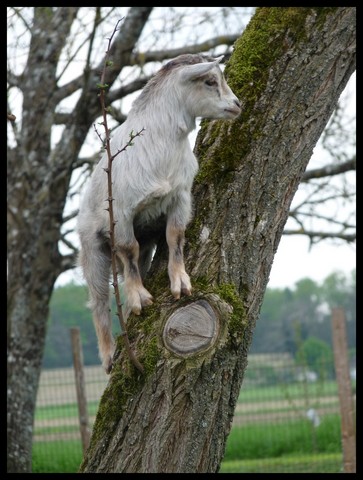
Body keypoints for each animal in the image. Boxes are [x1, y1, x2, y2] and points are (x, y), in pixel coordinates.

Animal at [77, 54, 242, 374]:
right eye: (210, 81)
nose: (237, 104)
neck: (161, 145)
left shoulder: (180, 198)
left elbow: (175, 238)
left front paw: (181, 284)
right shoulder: (123, 212)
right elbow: (128, 248)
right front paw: (140, 299)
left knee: (136, 265)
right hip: (92, 249)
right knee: (99, 301)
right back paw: (109, 355)